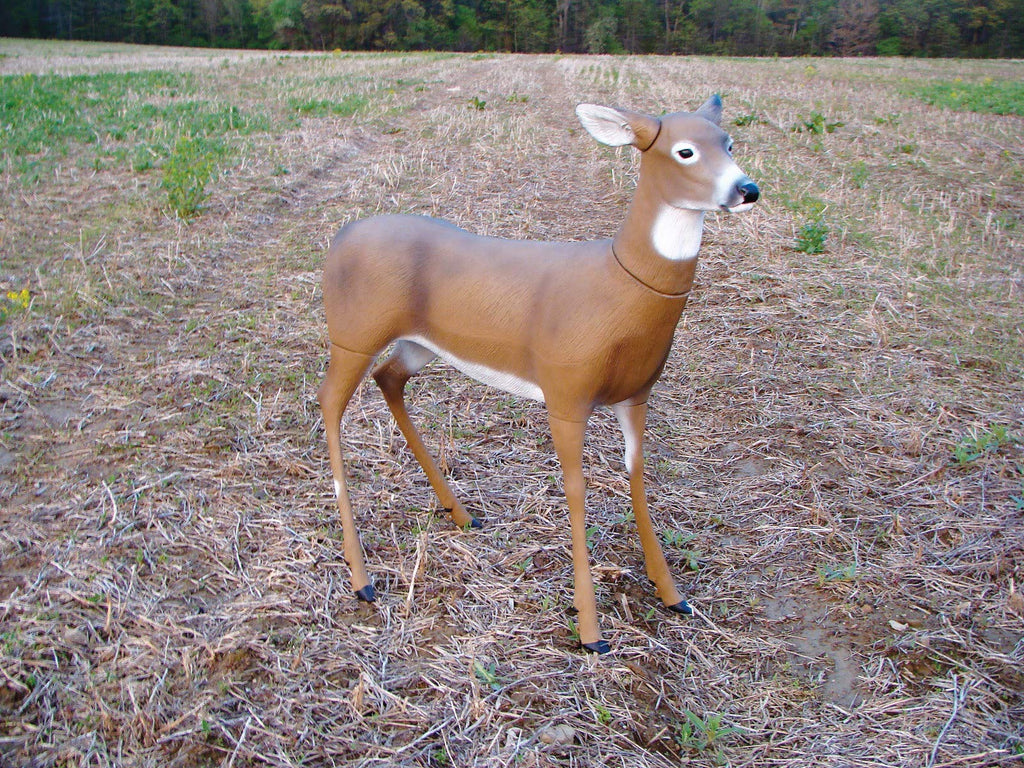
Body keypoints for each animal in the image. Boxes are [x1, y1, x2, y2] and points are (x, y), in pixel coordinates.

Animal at [317, 95, 759, 654]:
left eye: (729, 142)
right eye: (685, 151)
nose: (747, 189)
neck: (620, 289)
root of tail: (339, 239)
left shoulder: (636, 394)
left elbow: (638, 477)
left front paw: (672, 594)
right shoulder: (565, 392)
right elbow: (576, 487)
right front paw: (592, 633)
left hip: (419, 344)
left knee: (389, 378)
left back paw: (461, 513)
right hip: (352, 333)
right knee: (330, 402)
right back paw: (362, 578)